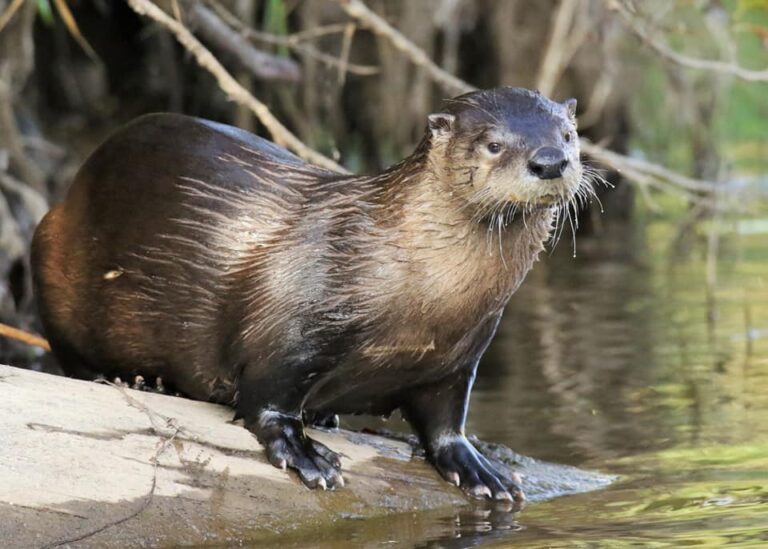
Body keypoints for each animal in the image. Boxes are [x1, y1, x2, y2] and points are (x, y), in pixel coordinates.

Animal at [31, 87, 585, 501]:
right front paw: (304, 455)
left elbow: (446, 421)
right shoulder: (290, 330)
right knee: (68, 353)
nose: (550, 161)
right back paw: (134, 380)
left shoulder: (459, 358)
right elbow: (267, 398)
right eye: (493, 144)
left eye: (568, 134)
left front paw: (477, 467)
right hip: (49, 245)